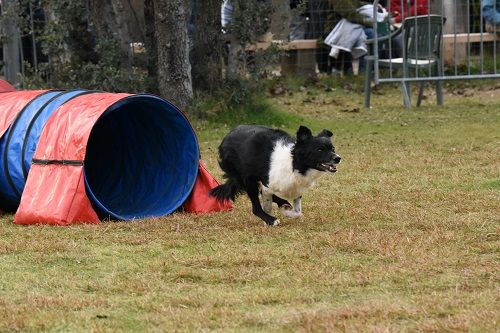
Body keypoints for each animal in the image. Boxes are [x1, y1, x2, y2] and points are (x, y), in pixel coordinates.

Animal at [209, 125, 342, 226]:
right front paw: (270, 220)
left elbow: (298, 212)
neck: (295, 165)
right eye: (320, 149)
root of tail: (228, 136)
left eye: (333, 148)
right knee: (256, 208)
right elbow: (267, 206)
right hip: (247, 179)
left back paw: (283, 204)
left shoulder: (296, 188)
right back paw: (271, 218)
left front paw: (287, 211)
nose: (338, 158)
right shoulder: (267, 185)